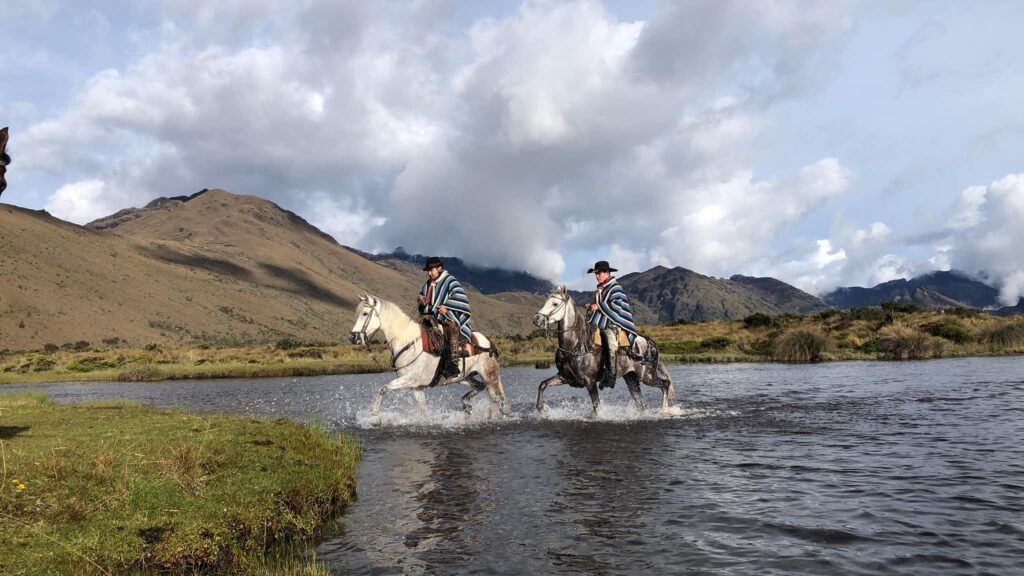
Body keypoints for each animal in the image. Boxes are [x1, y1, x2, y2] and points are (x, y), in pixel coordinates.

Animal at [352, 295, 512, 416]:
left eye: (365, 313)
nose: (354, 337)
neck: (408, 341)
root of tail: (489, 343)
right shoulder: (416, 386)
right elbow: (423, 410)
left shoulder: (409, 379)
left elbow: (383, 389)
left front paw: (374, 415)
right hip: (464, 377)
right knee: (480, 387)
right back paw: (466, 405)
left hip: (490, 377)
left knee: (498, 401)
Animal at [528, 284, 679, 412]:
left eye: (555, 303)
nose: (536, 319)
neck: (576, 345)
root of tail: (649, 342)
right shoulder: (565, 377)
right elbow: (543, 384)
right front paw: (541, 409)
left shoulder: (590, 382)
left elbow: (596, 407)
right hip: (631, 378)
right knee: (640, 400)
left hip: (647, 376)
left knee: (665, 384)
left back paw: (665, 410)